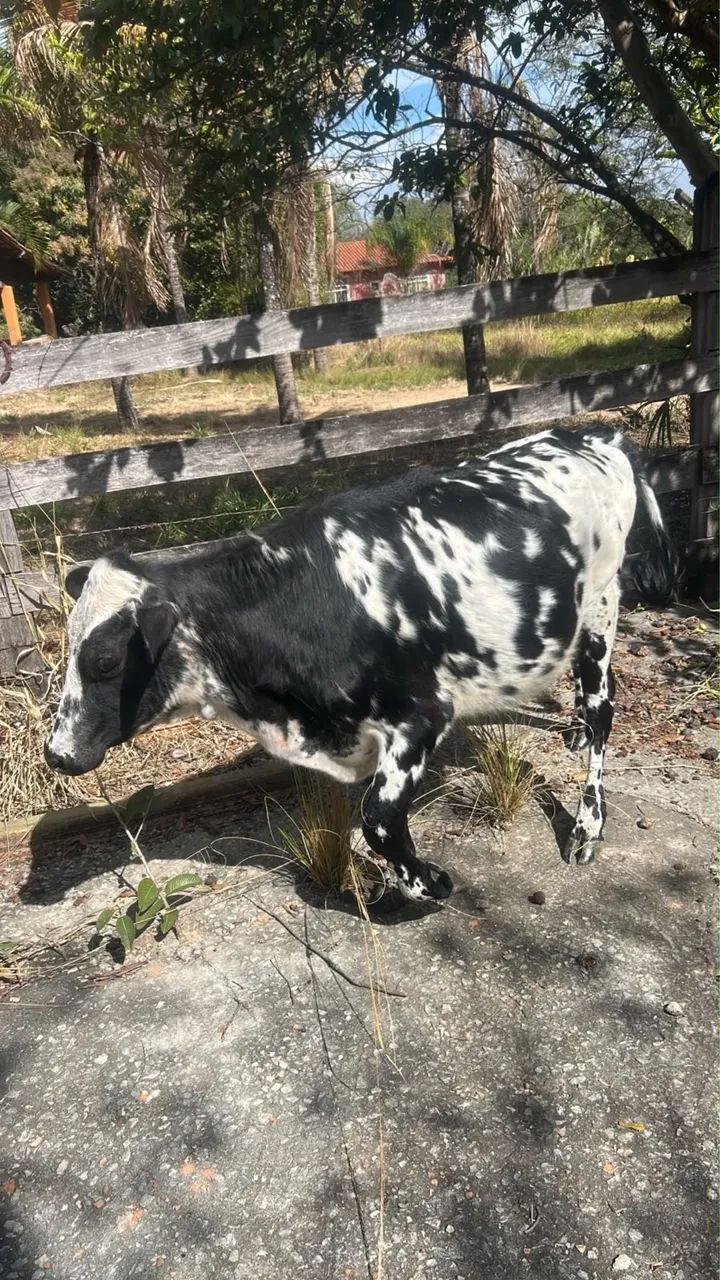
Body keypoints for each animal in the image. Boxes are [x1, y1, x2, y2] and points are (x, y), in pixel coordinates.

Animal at [45, 425, 677, 904]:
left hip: (601, 607)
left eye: (105, 659)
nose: (57, 754)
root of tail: (590, 433)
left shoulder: (422, 714)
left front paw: (428, 883)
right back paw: (572, 733)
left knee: (603, 709)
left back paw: (588, 823)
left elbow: (377, 818)